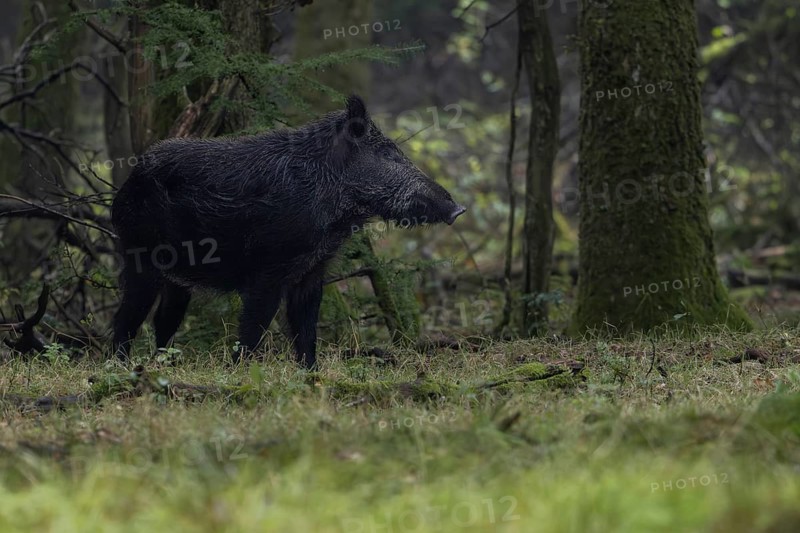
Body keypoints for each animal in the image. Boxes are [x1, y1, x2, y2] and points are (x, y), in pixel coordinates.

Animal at [111, 95, 466, 368]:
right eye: (388, 154)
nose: (458, 209)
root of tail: (128, 183)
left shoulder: (312, 272)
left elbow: (307, 328)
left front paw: (311, 373)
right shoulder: (267, 272)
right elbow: (255, 327)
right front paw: (240, 371)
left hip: (178, 278)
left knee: (163, 319)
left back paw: (165, 364)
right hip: (140, 256)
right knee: (126, 317)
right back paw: (119, 365)